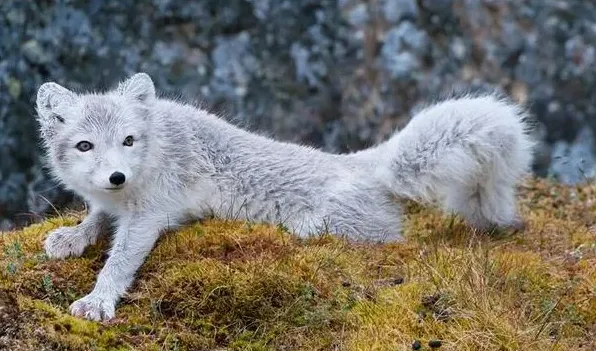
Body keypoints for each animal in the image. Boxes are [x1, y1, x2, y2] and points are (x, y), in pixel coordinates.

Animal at [33, 73, 536, 322]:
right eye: (85, 146)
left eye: (129, 140)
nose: (117, 175)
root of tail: (358, 164)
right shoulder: (116, 203)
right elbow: (96, 216)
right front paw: (73, 236)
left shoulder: (152, 212)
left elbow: (119, 260)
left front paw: (99, 301)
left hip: (331, 226)